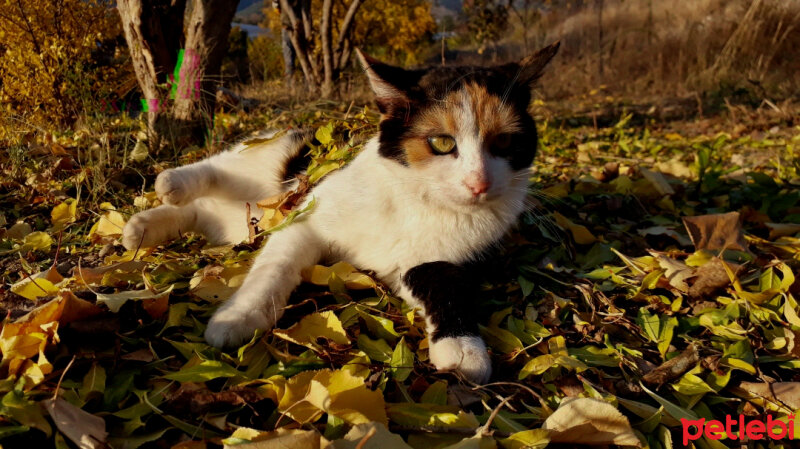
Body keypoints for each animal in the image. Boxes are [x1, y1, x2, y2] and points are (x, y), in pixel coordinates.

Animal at [125, 43, 560, 382]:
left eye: (503, 143)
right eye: (441, 142)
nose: (479, 183)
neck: (417, 198)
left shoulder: (428, 260)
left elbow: (445, 284)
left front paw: (462, 345)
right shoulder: (305, 221)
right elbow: (273, 269)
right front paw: (237, 317)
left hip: (240, 218)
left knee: (197, 214)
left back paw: (142, 228)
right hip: (263, 164)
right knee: (216, 170)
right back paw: (172, 183)